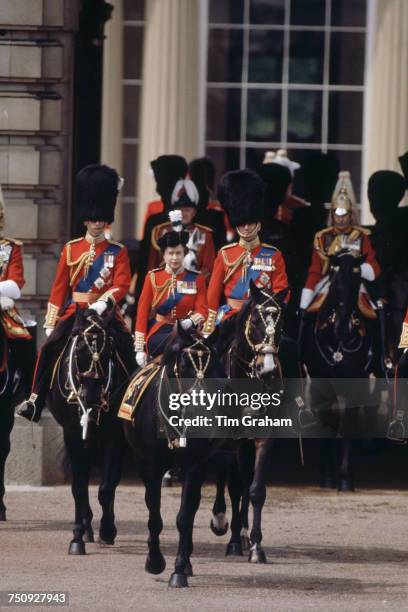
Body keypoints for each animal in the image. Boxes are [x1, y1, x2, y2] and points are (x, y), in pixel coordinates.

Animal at [47, 308, 132, 552]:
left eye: (108, 352)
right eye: (78, 352)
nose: (91, 399)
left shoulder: (114, 436)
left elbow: (106, 487)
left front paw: (107, 530)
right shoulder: (72, 434)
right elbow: (78, 487)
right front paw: (77, 536)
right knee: (81, 482)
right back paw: (85, 529)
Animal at [122, 326, 225, 588]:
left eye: (212, 364)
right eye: (185, 364)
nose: (203, 409)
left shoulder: (194, 465)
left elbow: (184, 518)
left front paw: (179, 570)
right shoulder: (150, 466)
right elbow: (154, 513)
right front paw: (155, 561)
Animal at [302, 251, 374, 490]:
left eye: (357, 283)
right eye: (335, 284)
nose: (343, 327)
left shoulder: (354, 383)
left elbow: (348, 422)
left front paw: (345, 476)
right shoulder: (321, 382)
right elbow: (328, 420)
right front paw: (328, 475)